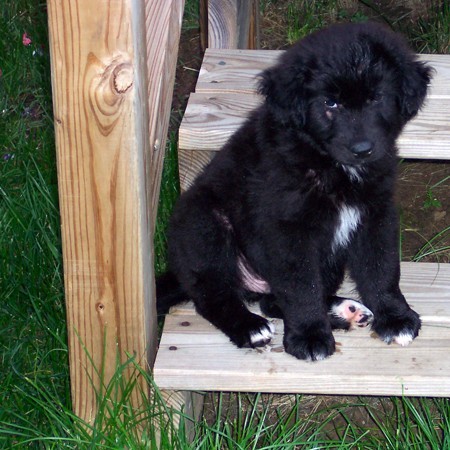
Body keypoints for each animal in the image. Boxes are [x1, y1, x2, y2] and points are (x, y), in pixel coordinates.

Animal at [156, 22, 432, 362]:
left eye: (377, 98)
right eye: (330, 103)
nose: (362, 149)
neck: (330, 165)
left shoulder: (375, 213)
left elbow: (381, 268)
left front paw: (395, 317)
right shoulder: (288, 228)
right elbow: (302, 288)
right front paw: (310, 336)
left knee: (274, 300)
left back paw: (343, 310)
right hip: (204, 226)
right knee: (215, 297)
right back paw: (250, 326)